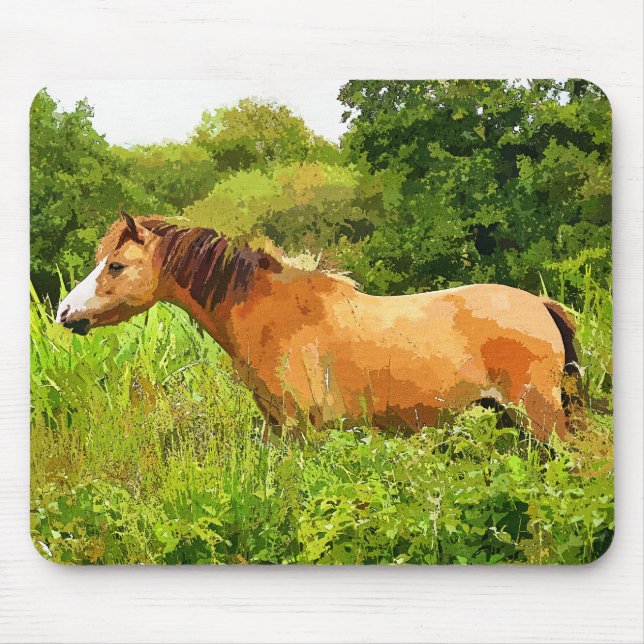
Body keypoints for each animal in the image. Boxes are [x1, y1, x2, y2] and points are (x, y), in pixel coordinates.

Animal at [56, 211, 582, 440]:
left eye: (115, 266)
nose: (63, 312)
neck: (268, 314)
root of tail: (540, 305)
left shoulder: (301, 431)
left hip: (539, 418)